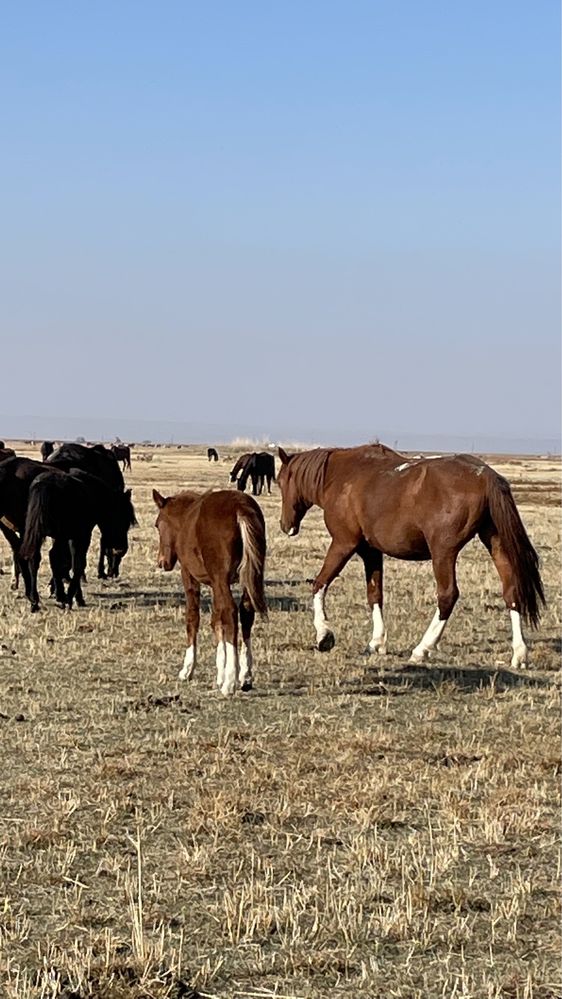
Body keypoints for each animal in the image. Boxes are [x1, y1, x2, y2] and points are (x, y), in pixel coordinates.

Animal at [21, 466, 137, 608]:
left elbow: (69, 562)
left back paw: (35, 600)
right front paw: (73, 596)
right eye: (124, 519)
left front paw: (74, 595)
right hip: (60, 536)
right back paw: (61, 597)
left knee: (35, 558)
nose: (122, 549)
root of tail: (45, 485)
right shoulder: (81, 536)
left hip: (40, 533)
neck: (93, 494)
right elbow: (78, 563)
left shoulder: (71, 537)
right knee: (53, 557)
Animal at [153, 486, 266, 696]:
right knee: (246, 611)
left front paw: (188, 669)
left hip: (221, 578)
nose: (161, 562)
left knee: (231, 612)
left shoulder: (189, 575)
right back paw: (245, 676)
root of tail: (240, 507)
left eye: (157, 525)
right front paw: (220, 670)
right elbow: (216, 620)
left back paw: (230, 682)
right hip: (250, 575)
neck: (185, 519)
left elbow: (193, 617)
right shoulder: (215, 583)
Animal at [276, 448, 544, 672]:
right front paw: (376, 642)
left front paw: (324, 635)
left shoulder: (343, 543)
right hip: (496, 543)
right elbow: (375, 594)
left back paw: (422, 649)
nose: (285, 525)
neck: (342, 476)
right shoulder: (371, 552)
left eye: (279, 481)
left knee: (448, 595)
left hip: (443, 552)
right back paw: (519, 654)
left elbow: (319, 584)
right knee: (511, 591)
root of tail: (485, 475)